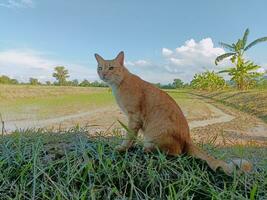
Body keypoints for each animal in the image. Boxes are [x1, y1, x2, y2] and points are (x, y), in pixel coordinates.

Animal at [94, 51, 253, 175]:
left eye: (111, 67)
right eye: (100, 68)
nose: (103, 74)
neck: (120, 84)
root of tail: (188, 138)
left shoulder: (134, 117)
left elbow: (129, 137)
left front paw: (123, 148)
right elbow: (131, 137)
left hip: (155, 136)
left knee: (175, 153)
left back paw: (147, 150)